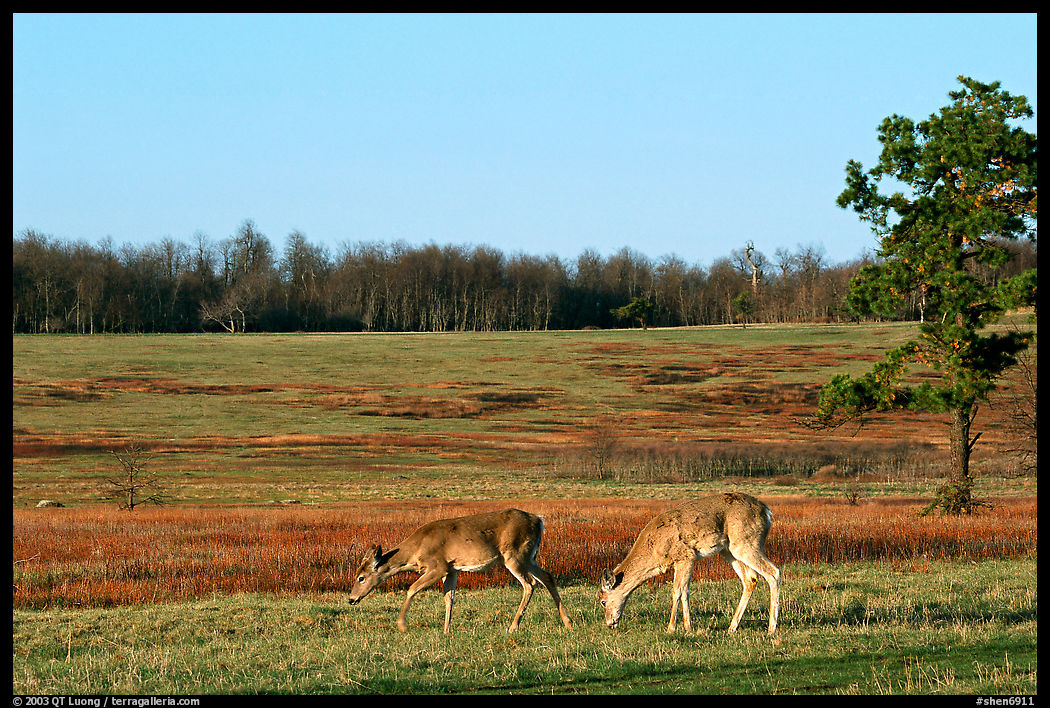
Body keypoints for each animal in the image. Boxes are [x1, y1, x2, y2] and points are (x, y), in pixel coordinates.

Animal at [347, 508, 573, 634]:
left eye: (361, 577)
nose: (351, 599)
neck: (414, 552)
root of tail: (539, 520)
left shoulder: (437, 565)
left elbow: (412, 589)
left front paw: (402, 625)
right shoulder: (451, 569)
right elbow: (449, 598)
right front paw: (446, 631)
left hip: (514, 553)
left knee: (530, 583)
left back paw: (513, 626)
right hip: (529, 556)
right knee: (547, 577)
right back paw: (567, 622)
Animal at [599, 492, 780, 635]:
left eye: (602, 601)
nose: (609, 623)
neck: (655, 550)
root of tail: (767, 512)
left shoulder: (684, 556)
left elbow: (676, 591)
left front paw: (671, 628)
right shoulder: (688, 560)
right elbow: (685, 591)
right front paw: (688, 627)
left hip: (745, 543)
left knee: (773, 572)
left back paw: (771, 628)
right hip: (729, 550)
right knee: (751, 578)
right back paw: (732, 627)